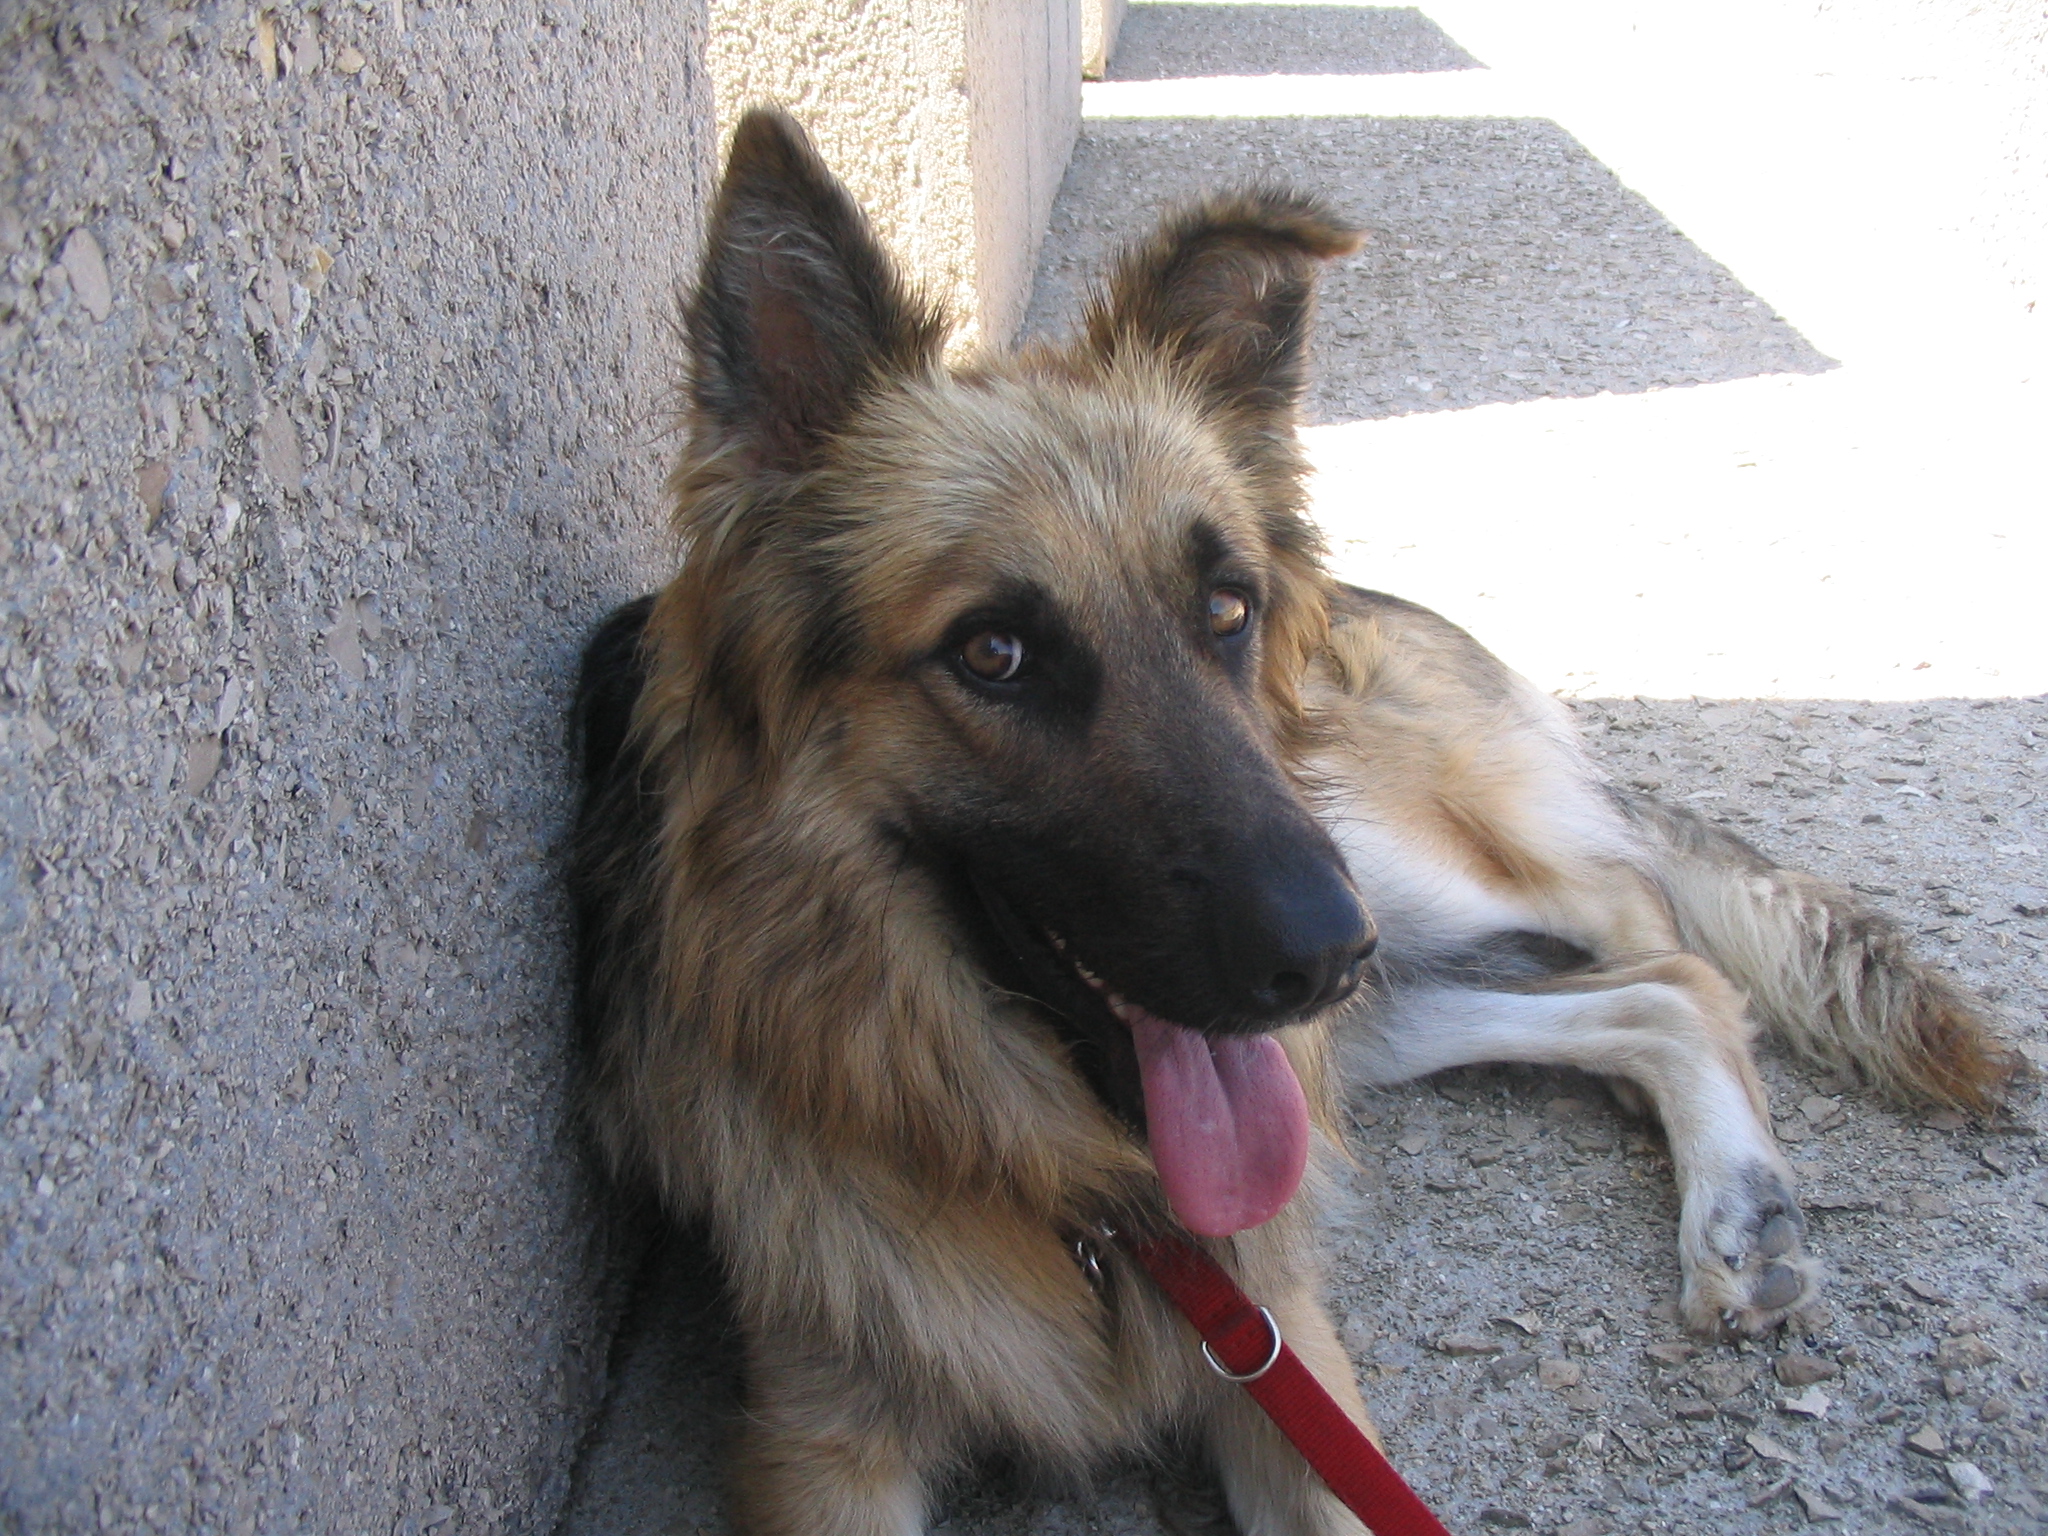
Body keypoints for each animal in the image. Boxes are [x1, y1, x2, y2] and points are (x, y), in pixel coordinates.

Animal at [570, 107, 2011, 1536]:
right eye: (992, 653)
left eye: (1226, 608)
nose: (1323, 953)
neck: (1085, 1192)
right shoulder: (822, 1445)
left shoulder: (1283, 1348)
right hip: (1370, 991)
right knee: (1654, 991)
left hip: (1392, 874)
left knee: (1657, 931)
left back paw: (1734, 1188)